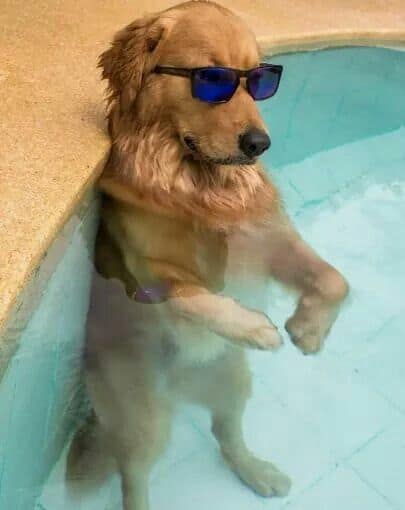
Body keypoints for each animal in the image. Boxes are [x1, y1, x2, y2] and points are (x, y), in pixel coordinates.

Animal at [66, 1, 348, 508]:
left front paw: (310, 328)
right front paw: (253, 326)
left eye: (260, 80)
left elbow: (334, 278)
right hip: (144, 418)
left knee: (225, 433)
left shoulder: (270, 239)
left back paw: (257, 471)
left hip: (233, 381)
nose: (259, 143)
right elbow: (192, 297)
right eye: (212, 79)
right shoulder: (144, 274)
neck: (196, 187)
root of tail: (179, 389)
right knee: (133, 476)